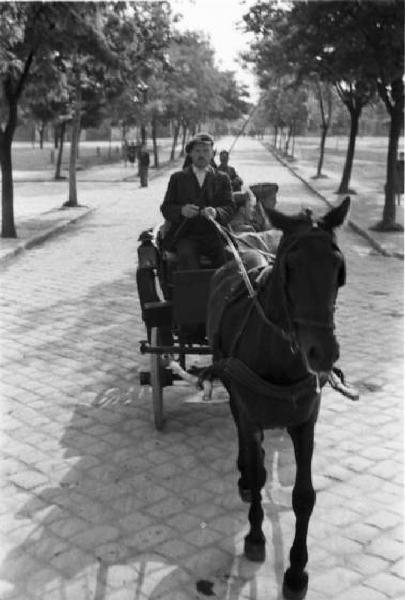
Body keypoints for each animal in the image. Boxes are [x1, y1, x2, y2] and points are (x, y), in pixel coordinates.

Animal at [205, 198, 350, 600]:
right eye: (291, 267)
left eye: (338, 268)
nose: (323, 353)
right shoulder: (251, 413)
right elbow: (256, 474)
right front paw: (255, 536)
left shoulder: (305, 422)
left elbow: (304, 496)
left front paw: (297, 571)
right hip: (231, 385)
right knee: (241, 432)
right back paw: (243, 471)